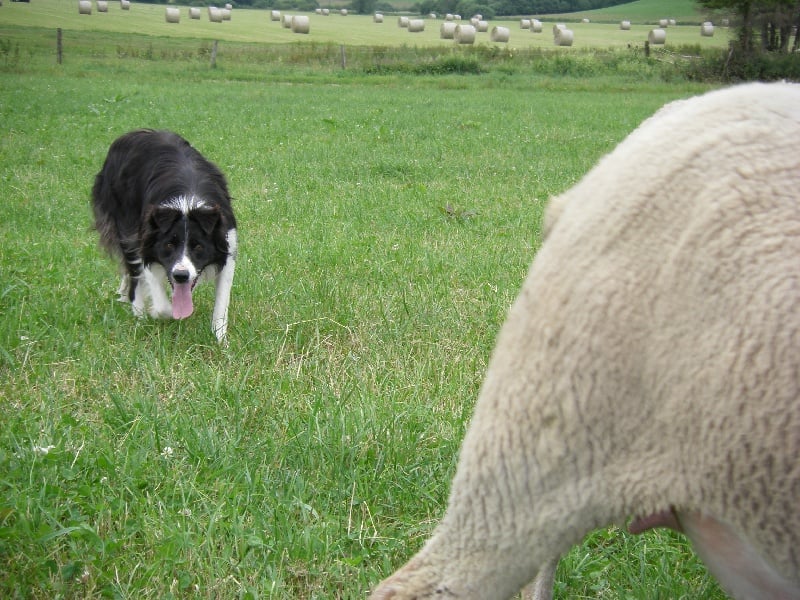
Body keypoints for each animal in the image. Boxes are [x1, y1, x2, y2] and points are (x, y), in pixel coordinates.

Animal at [93, 129, 236, 342]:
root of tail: (130, 133)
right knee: (134, 274)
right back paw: (138, 312)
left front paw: (221, 341)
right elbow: (162, 305)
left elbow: (221, 304)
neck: (187, 202)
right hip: (124, 225)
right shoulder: (145, 241)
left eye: (198, 247)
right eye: (168, 245)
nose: (181, 276)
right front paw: (157, 312)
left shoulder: (228, 246)